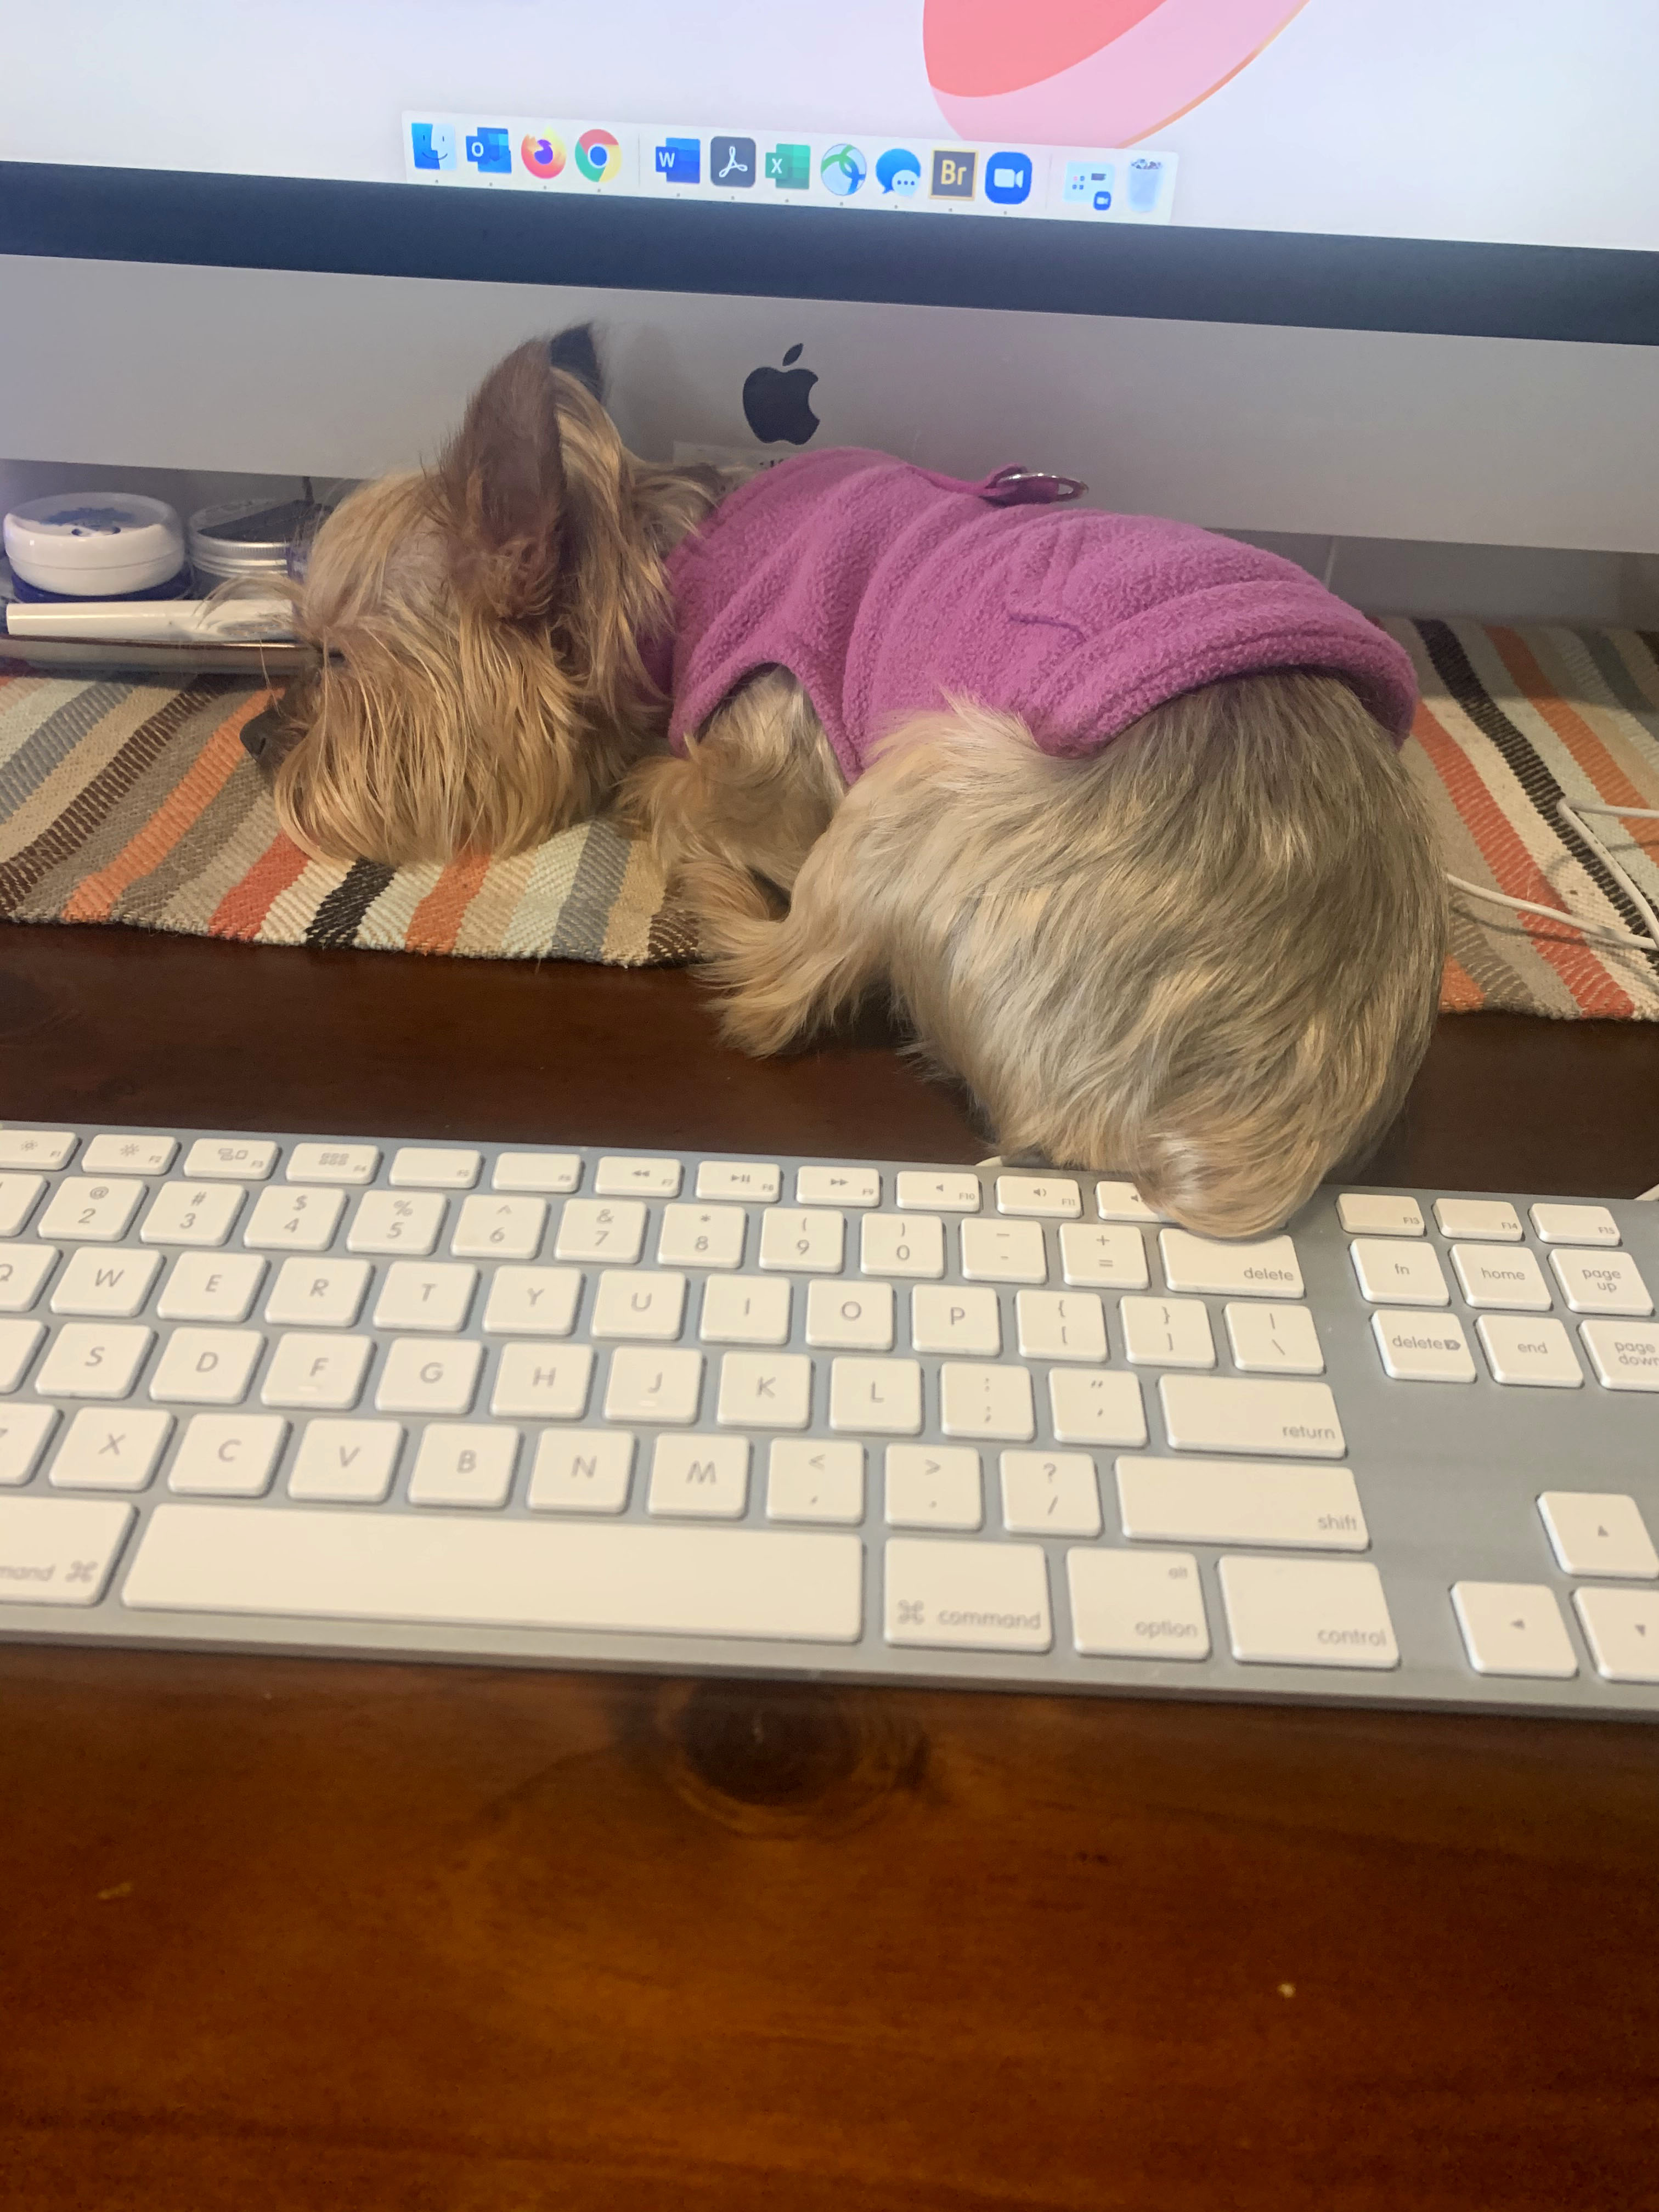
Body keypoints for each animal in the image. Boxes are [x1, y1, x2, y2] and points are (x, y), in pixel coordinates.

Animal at [269, 329, 1442, 1238]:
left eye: (331, 657)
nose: (261, 736)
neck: (655, 560)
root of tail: (1239, 1145)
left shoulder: (772, 770)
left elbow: (689, 786)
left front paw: (645, 783)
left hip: (931, 767)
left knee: (775, 992)